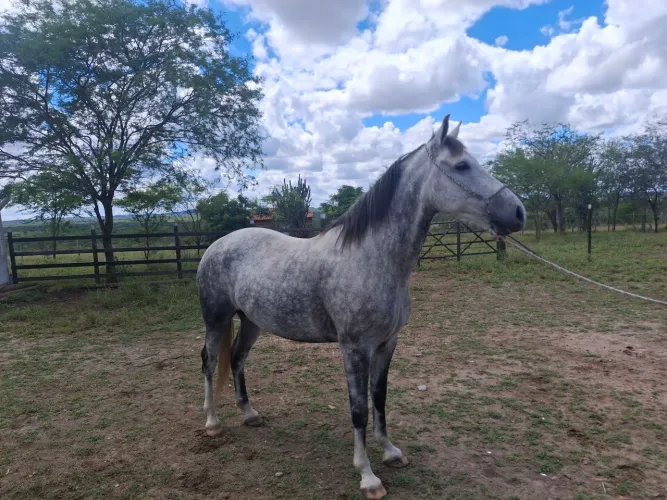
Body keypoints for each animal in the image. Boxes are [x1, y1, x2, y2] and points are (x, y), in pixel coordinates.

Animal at [195, 114, 526, 499]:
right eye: (461, 165)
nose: (518, 212)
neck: (372, 257)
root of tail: (216, 245)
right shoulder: (355, 348)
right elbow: (358, 411)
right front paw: (367, 476)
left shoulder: (387, 344)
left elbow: (379, 399)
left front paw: (391, 452)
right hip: (216, 318)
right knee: (210, 360)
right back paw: (212, 422)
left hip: (251, 321)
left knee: (237, 358)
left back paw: (249, 414)